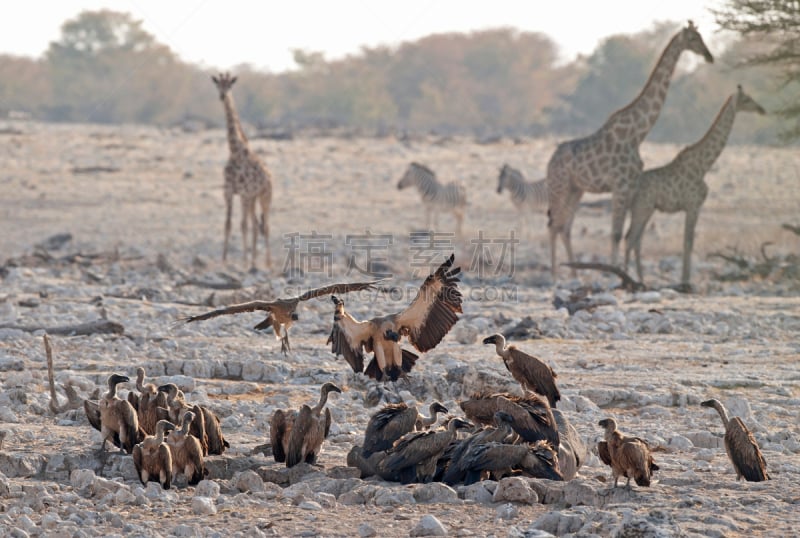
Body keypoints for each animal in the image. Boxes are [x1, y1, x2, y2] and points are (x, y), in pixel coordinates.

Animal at [209, 71, 272, 270]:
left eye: (229, 85)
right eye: (217, 85)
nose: (222, 96)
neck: (235, 152)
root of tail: (270, 176)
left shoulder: (243, 193)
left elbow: (242, 225)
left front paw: (243, 260)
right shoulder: (229, 191)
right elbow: (228, 224)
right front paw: (224, 259)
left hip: (264, 196)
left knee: (265, 225)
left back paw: (266, 262)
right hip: (252, 199)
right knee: (255, 223)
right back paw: (254, 260)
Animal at [548, 21, 716, 276]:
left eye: (701, 36)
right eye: (693, 39)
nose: (709, 56)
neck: (637, 133)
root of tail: (549, 162)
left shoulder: (630, 185)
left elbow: (625, 233)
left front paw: (621, 273)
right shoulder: (620, 184)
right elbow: (617, 234)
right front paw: (613, 274)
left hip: (575, 189)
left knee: (563, 226)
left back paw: (575, 273)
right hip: (559, 187)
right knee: (553, 224)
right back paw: (554, 275)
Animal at [628, 86, 764, 292]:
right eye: (746, 99)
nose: (761, 109)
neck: (704, 166)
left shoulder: (692, 207)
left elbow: (688, 242)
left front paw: (685, 281)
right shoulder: (693, 206)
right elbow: (688, 242)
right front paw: (686, 282)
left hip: (647, 209)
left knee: (637, 239)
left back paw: (641, 280)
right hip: (641, 207)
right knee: (630, 238)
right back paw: (626, 278)